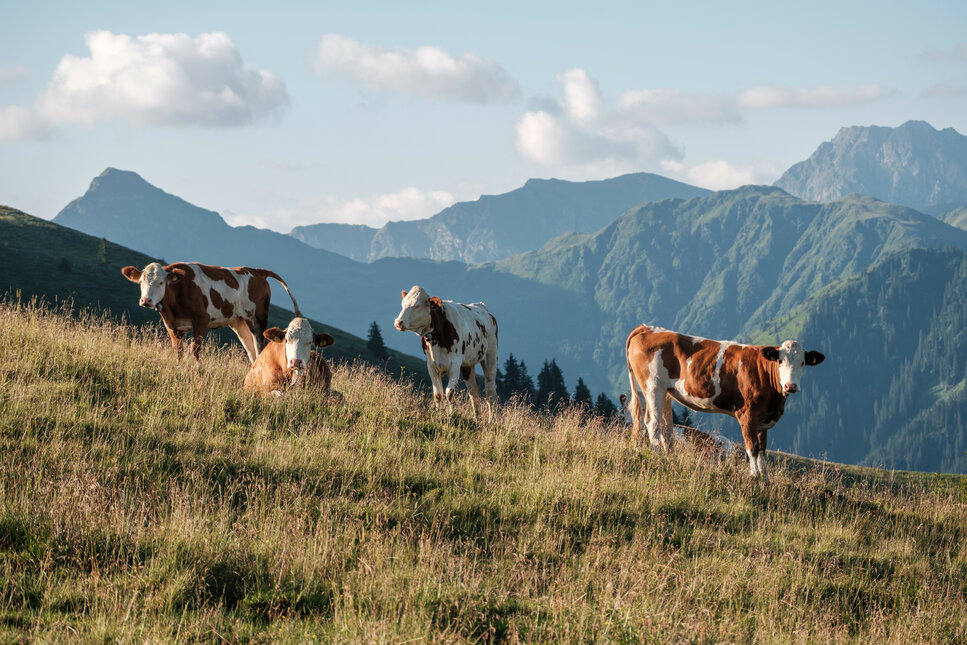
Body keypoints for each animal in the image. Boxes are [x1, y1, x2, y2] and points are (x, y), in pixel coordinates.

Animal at [121, 262, 302, 364]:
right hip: (239, 322)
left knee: (259, 347)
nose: (146, 300)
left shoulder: (202, 319)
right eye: (141, 282)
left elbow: (195, 349)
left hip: (257, 319)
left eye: (160, 282)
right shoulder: (172, 326)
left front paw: (199, 373)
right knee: (251, 351)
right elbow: (178, 351)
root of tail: (257, 271)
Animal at [394, 285, 498, 420]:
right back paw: (477, 418)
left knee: (490, 391)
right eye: (403, 304)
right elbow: (438, 394)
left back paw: (492, 420)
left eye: (417, 305)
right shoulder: (431, 365)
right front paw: (438, 414)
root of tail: (482, 307)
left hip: (491, 356)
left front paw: (451, 414)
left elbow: (449, 393)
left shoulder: (454, 364)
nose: (398, 322)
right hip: (468, 364)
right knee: (474, 391)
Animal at [625, 324, 825, 482]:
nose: (791, 386)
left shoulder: (763, 420)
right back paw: (658, 457)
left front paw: (765, 479)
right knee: (652, 423)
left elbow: (762, 449)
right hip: (653, 387)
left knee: (666, 427)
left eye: (803, 362)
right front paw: (754, 477)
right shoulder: (748, 416)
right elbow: (752, 448)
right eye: (780, 360)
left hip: (667, 392)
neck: (775, 401)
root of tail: (647, 328)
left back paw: (670, 458)